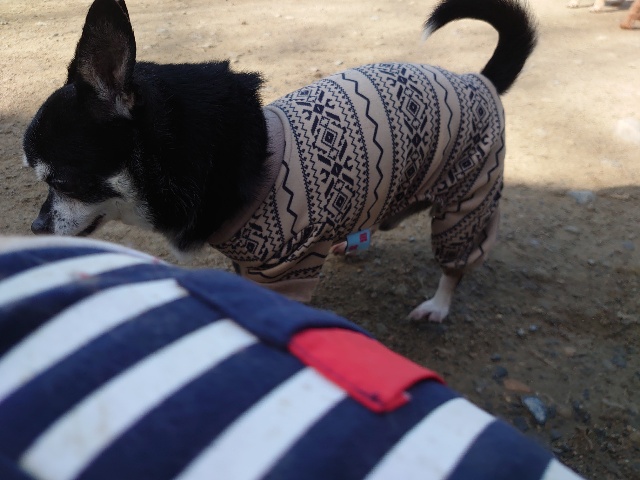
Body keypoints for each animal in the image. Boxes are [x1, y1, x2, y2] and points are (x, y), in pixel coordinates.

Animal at [22, 0, 537, 322]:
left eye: (62, 182)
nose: (36, 228)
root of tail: (478, 80)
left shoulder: (285, 269)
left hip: (466, 198)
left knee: (456, 263)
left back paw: (439, 305)